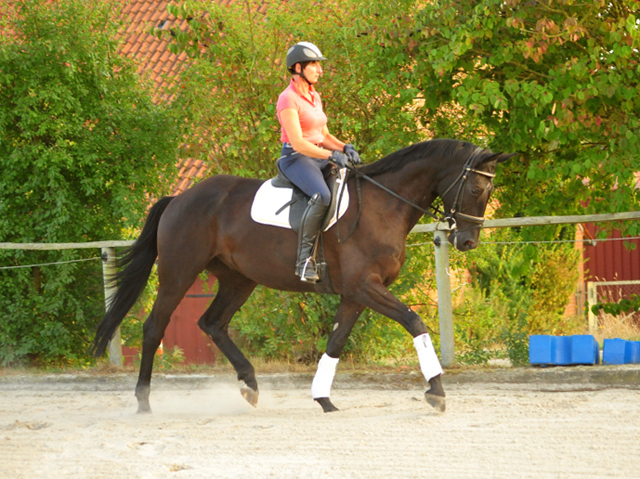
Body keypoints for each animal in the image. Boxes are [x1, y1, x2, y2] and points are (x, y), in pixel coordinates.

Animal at [91, 138, 516, 412]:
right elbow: (415, 322)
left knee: (212, 323)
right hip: (179, 273)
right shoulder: (366, 287)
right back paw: (143, 401)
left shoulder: (355, 294)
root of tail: (180, 198)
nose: (467, 241)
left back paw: (250, 384)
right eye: (476, 188)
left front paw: (323, 398)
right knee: (154, 327)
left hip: (239, 279)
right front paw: (436, 391)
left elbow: (335, 343)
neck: (383, 204)